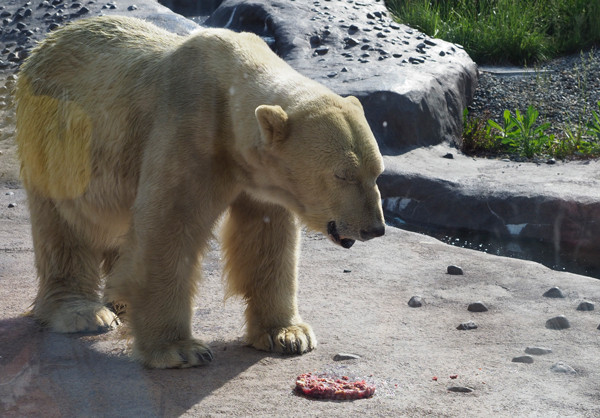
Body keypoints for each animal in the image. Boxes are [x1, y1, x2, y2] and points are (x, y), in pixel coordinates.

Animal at [17, 16, 390, 368]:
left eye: (377, 172)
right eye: (342, 175)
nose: (375, 228)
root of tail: (44, 45)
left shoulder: (260, 177)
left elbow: (268, 240)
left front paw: (288, 334)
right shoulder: (189, 132)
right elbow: (167, 229)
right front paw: (179, 349)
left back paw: (119, 300)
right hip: (59, 138)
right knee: (65, 225)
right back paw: (81, 311)